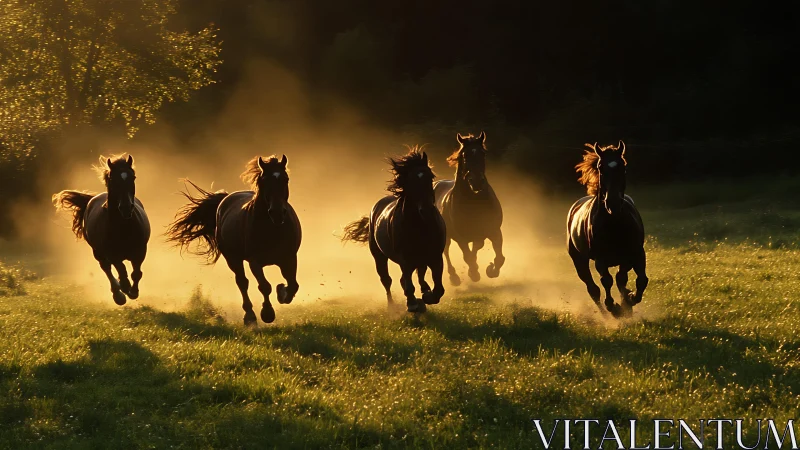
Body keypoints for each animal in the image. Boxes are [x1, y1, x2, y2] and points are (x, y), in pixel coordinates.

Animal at [53, 155, 151, 305]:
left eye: (133, 177)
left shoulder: (140, 251)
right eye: (112, 179)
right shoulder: (113, 255)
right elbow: (121, 271)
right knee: (106, 268)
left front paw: (133, 292)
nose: (126, 208)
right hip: (97, 252)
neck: (123, 227)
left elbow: (136, 273)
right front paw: (125, 288)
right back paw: (118, 295)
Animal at [165, 155, 301, 325]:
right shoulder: (254, 262)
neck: (272, 229)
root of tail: (225, 198)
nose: (277, 213)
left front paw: (281, 291)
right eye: (264, 181)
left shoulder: (289, 258)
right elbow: (264, 286)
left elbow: (293, 285)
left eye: (285, 179)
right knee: (242, 282)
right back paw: (250, 317)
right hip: (233, 259)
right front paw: (267, 314)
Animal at [341, 147, 446, 312]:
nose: (427, 210)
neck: (420, 225)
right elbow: (408, 284)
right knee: (387, 280)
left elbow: (438, 288)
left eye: (431, 176)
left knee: (417, 275)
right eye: (411, 179)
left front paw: (427, 296)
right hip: (379, 257)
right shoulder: (405, 259)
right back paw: (392, 305)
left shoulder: (435, 256)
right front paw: (413, 303)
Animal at [433, 132, 505, 286]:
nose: (477, 182)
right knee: (446, 252)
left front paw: (491, 270)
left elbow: (499, 258)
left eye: (483, 153)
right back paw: (454, 277)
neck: (474, 202)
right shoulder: (461, 237)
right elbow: (468, 257)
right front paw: (474, 273)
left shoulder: (494, 231)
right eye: (464, 155)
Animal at [567, 141, 648, 317]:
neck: (614, 222)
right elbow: (606, 281)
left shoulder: (636, 253)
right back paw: (606, 314)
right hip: (579, 260)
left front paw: (629, 300)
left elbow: (640, 280)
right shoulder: (601, 259)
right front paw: (614, 307)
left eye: (623, 166)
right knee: (593, 289)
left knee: (619, 279)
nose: (613, 203)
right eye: (600, 167)